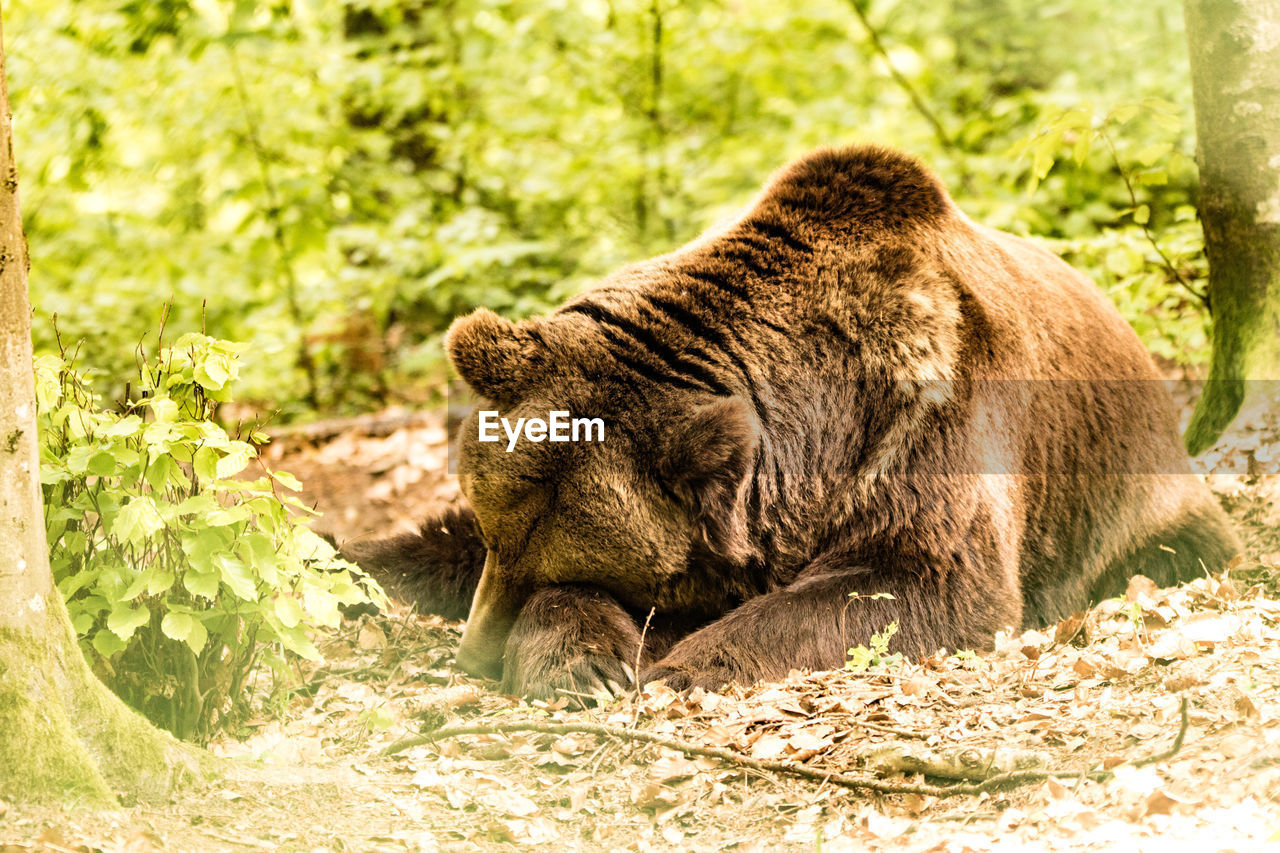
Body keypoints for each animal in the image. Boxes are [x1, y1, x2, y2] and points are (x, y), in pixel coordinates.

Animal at [345, 142, 1244, 696]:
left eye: (557, 556)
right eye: (498, 529)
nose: (473, 653)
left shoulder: (933, 431)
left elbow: (921, 582)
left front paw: (677, 663)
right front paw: (584, 661)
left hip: (1134, 504)